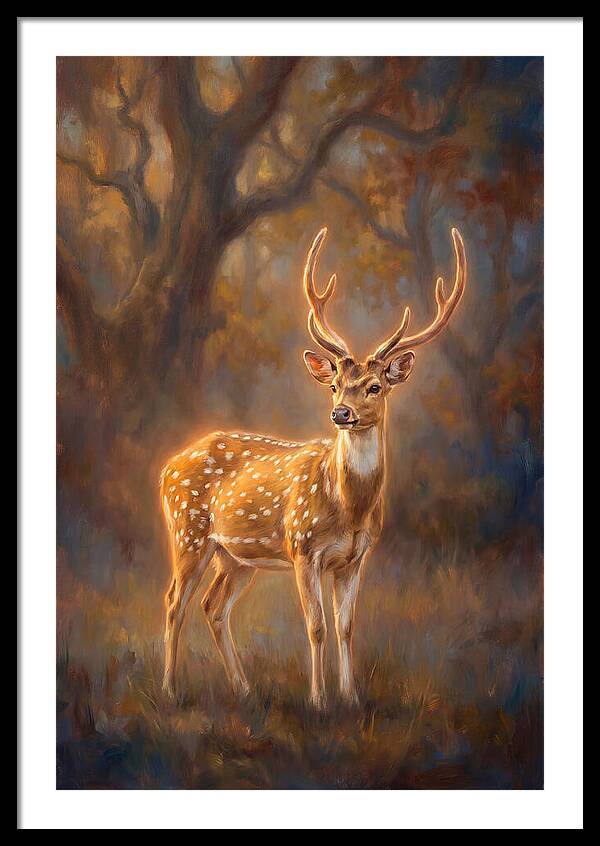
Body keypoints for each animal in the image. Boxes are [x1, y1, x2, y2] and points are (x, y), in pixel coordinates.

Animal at [160, 226, 466, 708]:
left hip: (235, 556)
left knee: (213, 606)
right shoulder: (302, 548)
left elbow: (346, 627)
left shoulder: (355, 558)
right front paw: (319, 701)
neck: (349, 508)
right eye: (336, 385)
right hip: (187, 531)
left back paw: (244, 688)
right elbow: (316, 626)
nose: (341, 413)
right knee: (175, 601)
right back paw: (171, 689)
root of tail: (166, 467)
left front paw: (351, 697)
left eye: (375, 386)